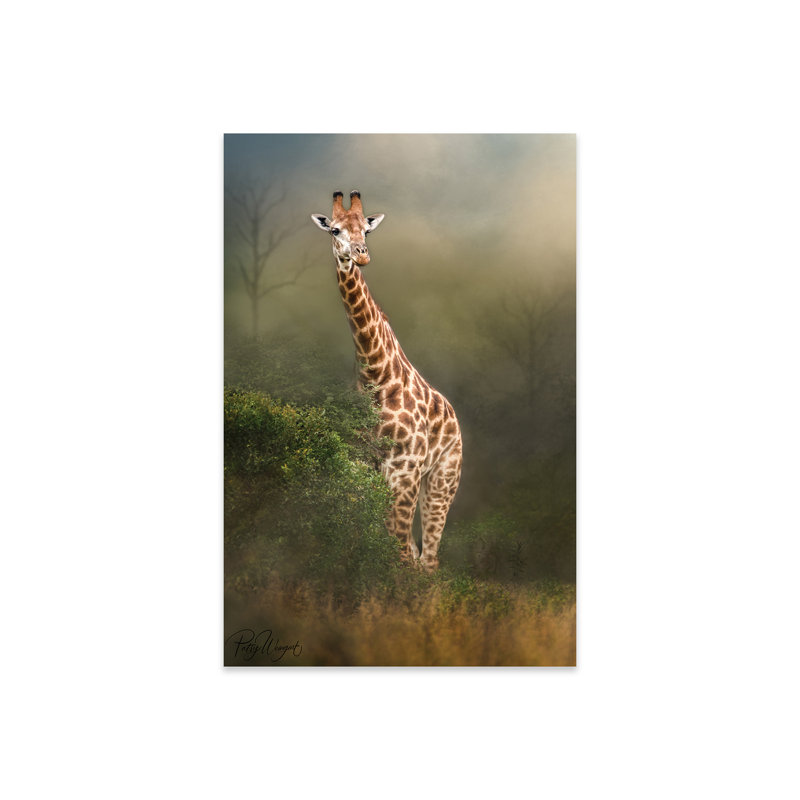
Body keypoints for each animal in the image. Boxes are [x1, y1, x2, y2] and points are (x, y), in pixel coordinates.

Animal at [311, 190, 462, 571]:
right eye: (334, 230)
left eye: (367, 229)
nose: (362, 255)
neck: (375, 374)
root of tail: (455, 418)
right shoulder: (361, 465)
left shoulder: (405, 470)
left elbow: (400, 552)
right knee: (416, 551)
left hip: (443, 477)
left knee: (428, 559)